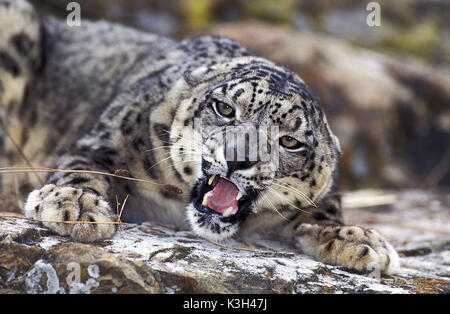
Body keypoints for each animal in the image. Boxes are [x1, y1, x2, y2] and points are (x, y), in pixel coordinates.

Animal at [1, 0, 400, 274]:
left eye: (290, 141)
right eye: (225, 108)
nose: (239, 157)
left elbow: (326, 206)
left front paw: (359, 241)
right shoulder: (108, 136)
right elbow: (82, 165)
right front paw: (75, 205)